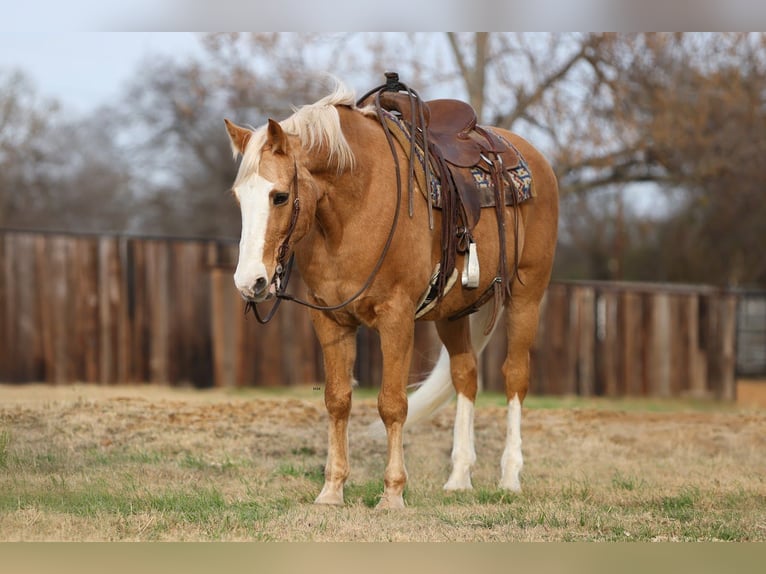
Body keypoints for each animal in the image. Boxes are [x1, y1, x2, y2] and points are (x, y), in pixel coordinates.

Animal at [224, 79, 558, 509]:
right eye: (239, 198)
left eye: (280, 196)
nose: (250, 281)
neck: (355, 206)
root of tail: (531, 156)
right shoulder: (329, 318)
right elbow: (337, 400)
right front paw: (332, 490)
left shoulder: (396, 317)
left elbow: (392, 404)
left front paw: (393, 493)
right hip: (451, 313)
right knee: (465, 376)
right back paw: (459, 477)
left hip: (527, 295)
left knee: (515, 376)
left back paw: (511, 476)